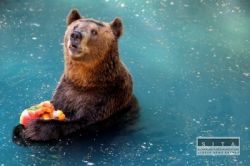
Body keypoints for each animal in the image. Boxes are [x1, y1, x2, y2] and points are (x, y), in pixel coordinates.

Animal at [13, 9, 137, 141]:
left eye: (94, 31)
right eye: (75, 26)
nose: (76, 35)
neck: (85, 81)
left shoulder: (109, 97)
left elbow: (84, 121)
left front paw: (36, 128)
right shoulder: (65, 91)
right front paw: (20, 127)